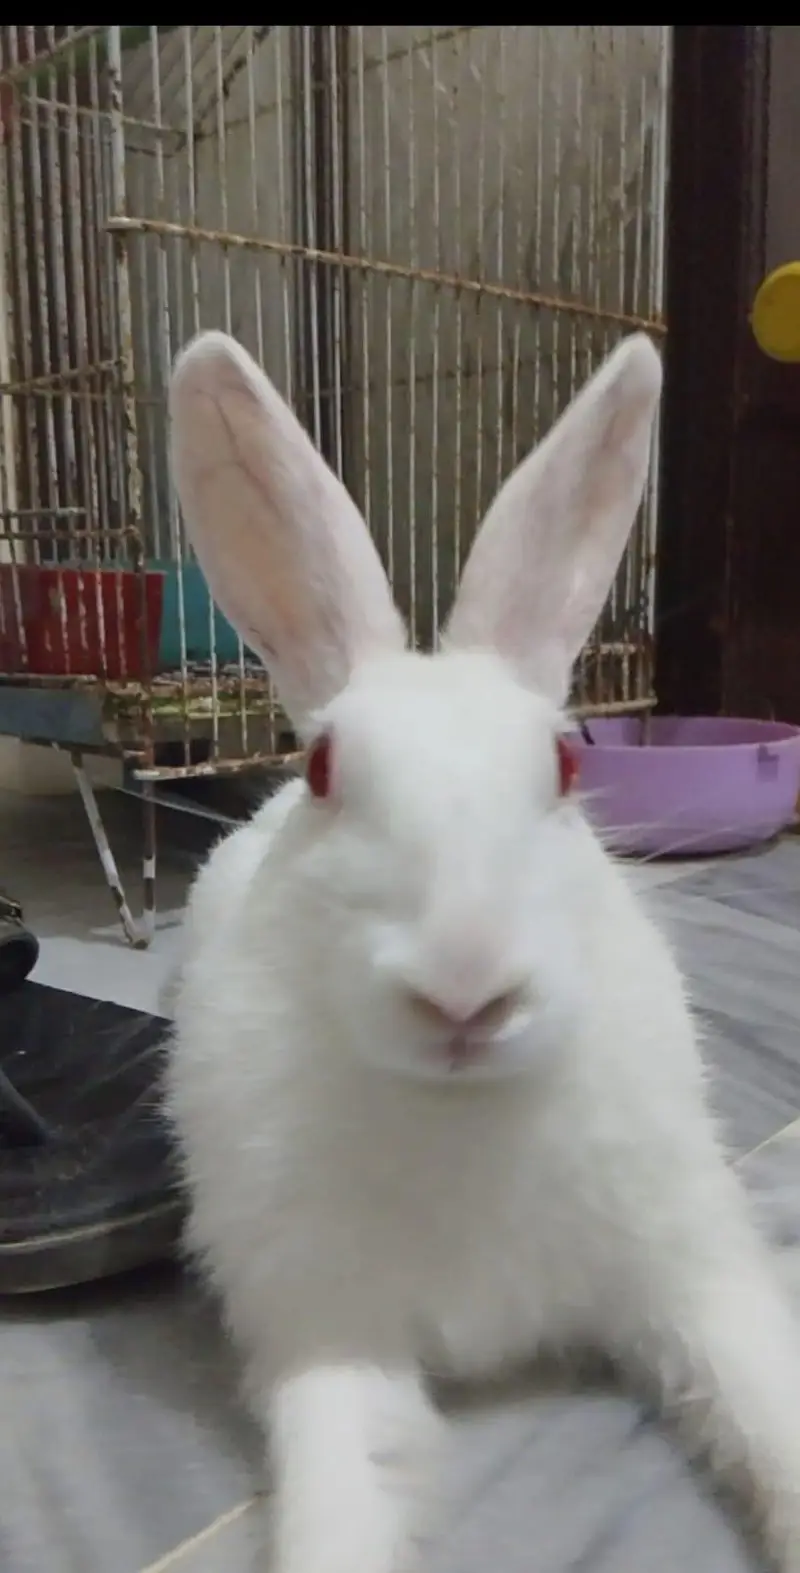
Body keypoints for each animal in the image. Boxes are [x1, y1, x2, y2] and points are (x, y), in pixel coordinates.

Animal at [166, 327, 800, 1573]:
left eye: (564, 764)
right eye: (322, 770)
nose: (464, 992)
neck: (457, 1107)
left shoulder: (689, 1267)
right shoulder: (329, 1332)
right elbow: (340, 1501)